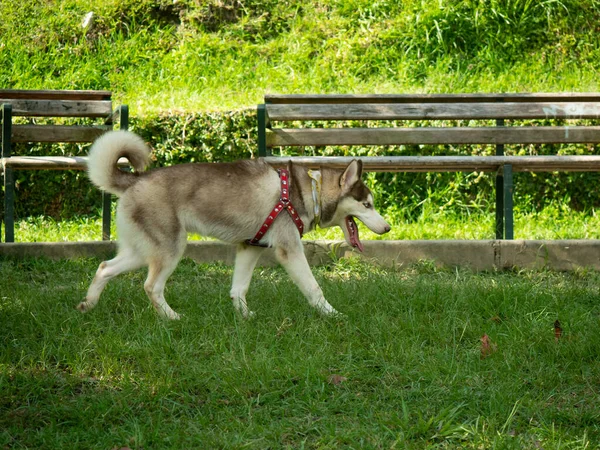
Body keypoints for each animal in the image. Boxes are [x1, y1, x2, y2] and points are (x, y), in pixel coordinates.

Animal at [77, 130, 392, 320]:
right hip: (170, 249)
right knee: (151, 286)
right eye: (367, 205)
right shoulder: (289, 250)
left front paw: (245, 317)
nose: (388, 227)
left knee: (104, 267)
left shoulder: (250, 247)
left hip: (141, 251)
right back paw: (171, 317)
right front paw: (332, 314)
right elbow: (314, 288)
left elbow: (239, 289)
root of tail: (135, 180)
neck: (306, 191)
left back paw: (88, 305)